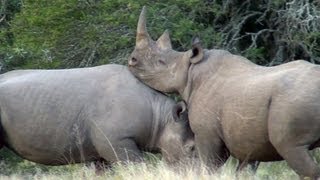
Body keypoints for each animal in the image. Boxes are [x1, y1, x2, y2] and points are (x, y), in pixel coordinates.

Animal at [128, 6, 320, 179]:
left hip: (291, 104)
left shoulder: (207, 134)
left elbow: (209, 166)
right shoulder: (247, 140)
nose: (132, 60)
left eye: (160, 62)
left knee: (294, 153)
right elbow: (243, 170)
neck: (190, 71)